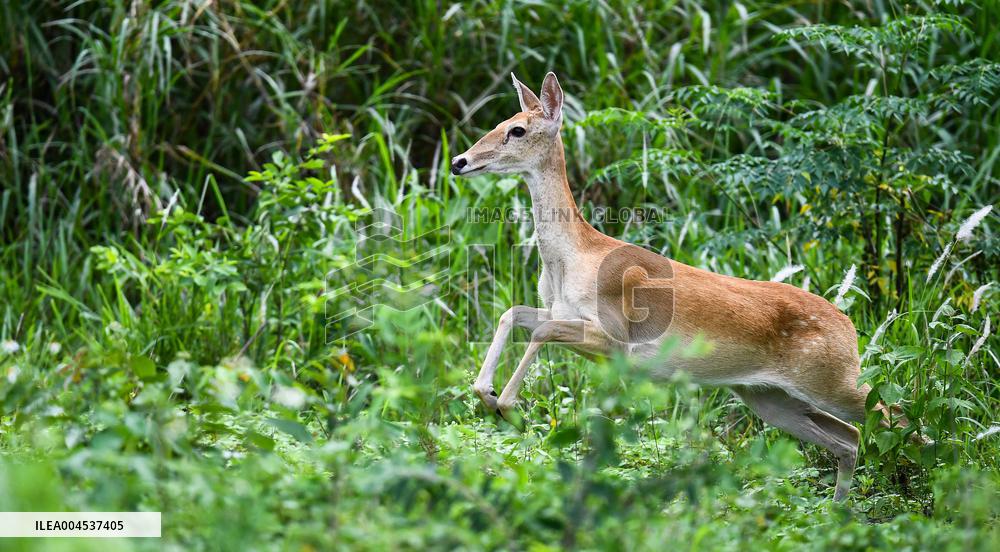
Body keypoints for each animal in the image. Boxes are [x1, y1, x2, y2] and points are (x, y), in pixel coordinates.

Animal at [451, 72, 917, 501]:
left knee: (897, 416)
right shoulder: (562, 313)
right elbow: (513, 313)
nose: (459, 161)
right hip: (768, 397)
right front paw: (486, 393)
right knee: (850, 439)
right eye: (499, 121)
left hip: (833, 381)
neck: (571, 260)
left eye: (517, 130)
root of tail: (850, 327)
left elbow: (541, 330)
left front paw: (507, 406)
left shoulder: (616, 337)